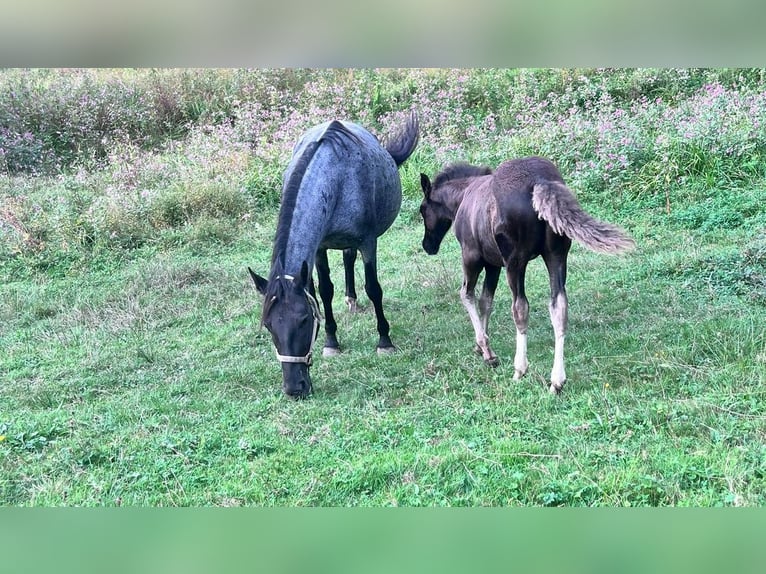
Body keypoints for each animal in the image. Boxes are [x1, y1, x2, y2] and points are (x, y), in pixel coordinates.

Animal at [250, 113, 420, 400]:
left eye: (304, 320)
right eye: (269, 325)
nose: (294, 388)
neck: (336, 178)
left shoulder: (368, 242)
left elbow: (374, 289)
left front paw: (384, 341)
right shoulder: (320, 247)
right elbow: (324, 291)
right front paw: (331, 342)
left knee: (351, 260)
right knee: (342, 264)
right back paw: (350, 299)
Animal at [420, 155, 636, 394]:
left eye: (422, 210)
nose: (427, 245)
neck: (462, 197)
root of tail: (539, 181)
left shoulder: (473, 256)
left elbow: (467, 295)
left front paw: (486, 350)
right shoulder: (494, 264)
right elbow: (486, 301)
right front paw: (481, 346)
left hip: (516, 261)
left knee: (520, 307)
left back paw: (520, 370)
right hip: (556, 255)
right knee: (559, 306)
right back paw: (557, 381)